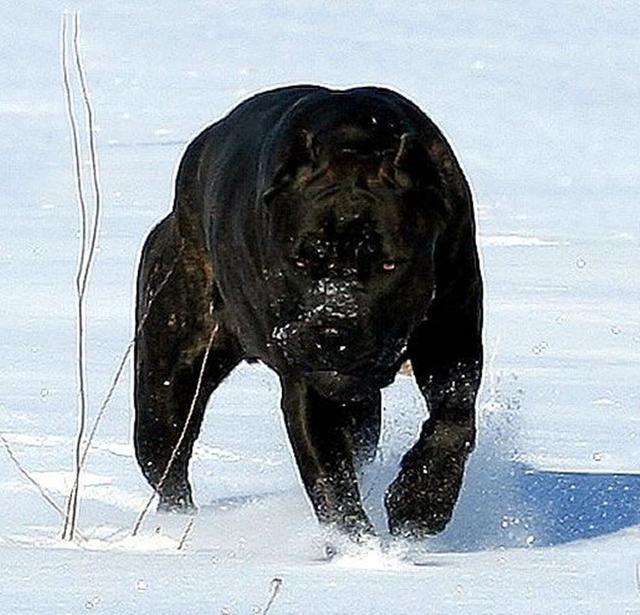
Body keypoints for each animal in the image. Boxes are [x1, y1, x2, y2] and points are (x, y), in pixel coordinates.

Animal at [136, 85, 484, 540]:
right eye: (300, 260)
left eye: (388, 265)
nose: (333, 328)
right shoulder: (309, 389)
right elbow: (331, 484)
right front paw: (359, 548)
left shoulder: (453, 339)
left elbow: (454, 420)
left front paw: (421, 502)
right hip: (164, 391)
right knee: (170, 470)